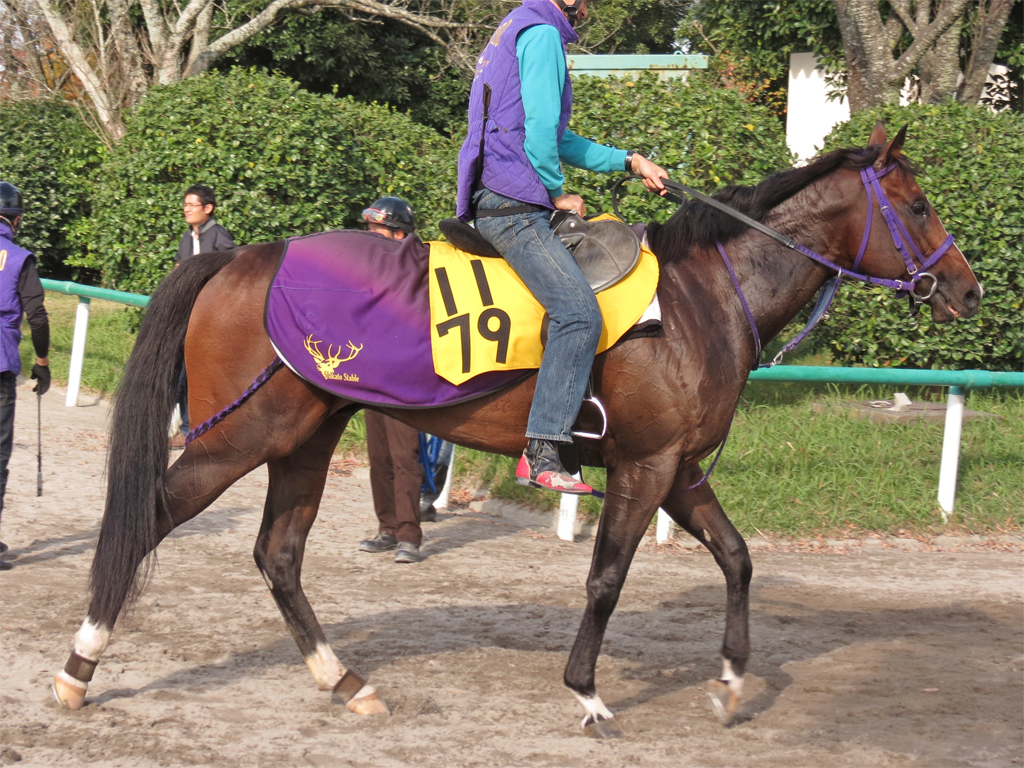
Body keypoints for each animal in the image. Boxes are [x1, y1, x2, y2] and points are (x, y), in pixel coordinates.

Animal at [54, 123, 974, 737]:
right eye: (920, 204)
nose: (969, 291)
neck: (700, 298)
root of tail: (233, 258)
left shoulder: (680, 468)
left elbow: (739, 557)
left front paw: (731, 680)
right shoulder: (645, 467)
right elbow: (606, 578)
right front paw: (588, 691)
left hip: (303, 437)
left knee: (278, 555)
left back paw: (344, 680)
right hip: (237, 435)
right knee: (148, 518)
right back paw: (77, 667)